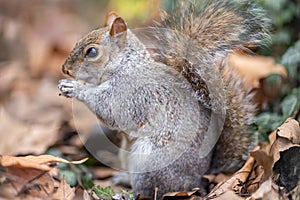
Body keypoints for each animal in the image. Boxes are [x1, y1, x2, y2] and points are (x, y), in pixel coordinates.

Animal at [58, 0, 270, 197]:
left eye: (92, 52)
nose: (65, 69)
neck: (125, 66)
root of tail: (198, 179)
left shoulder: (131, 95)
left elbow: (108, 110)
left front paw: (76, 88)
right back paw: (123, 178)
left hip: (150, 164)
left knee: (150, 191)